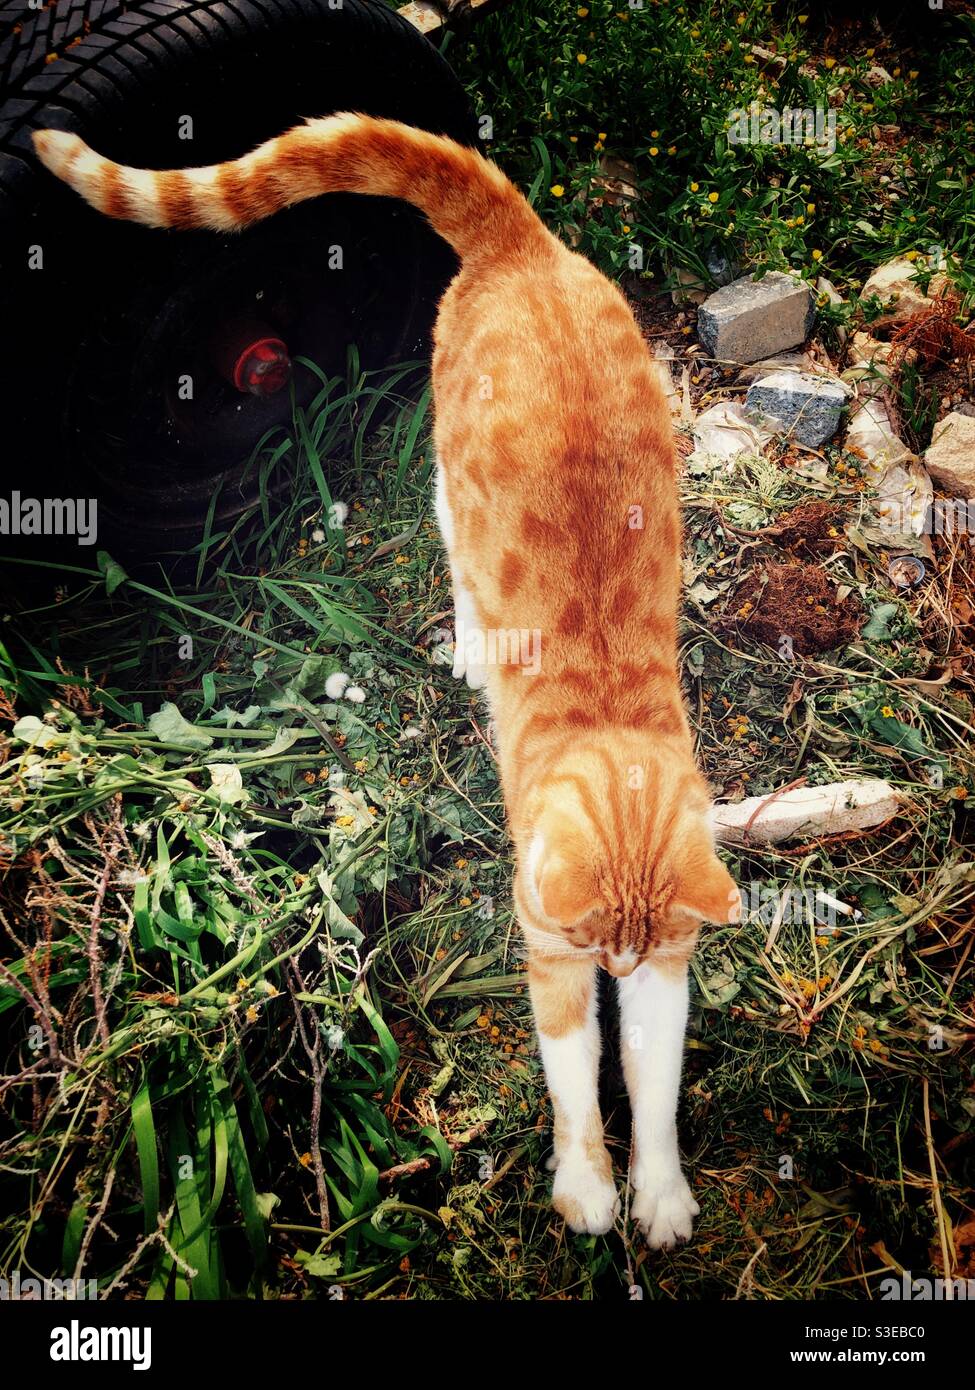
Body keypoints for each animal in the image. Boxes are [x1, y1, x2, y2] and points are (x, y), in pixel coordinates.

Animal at [36, 113, 739, 1245]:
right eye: (590, 944)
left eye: (632, 955)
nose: (616, 970)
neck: (609, 728)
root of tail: (520, 239)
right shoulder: (547, 947)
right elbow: (576, 1082)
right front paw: (589, 1189)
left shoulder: (666, 962)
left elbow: (655, 1078)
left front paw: (662, 1193)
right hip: (452, 468)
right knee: (453, 538)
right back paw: (469, 639)